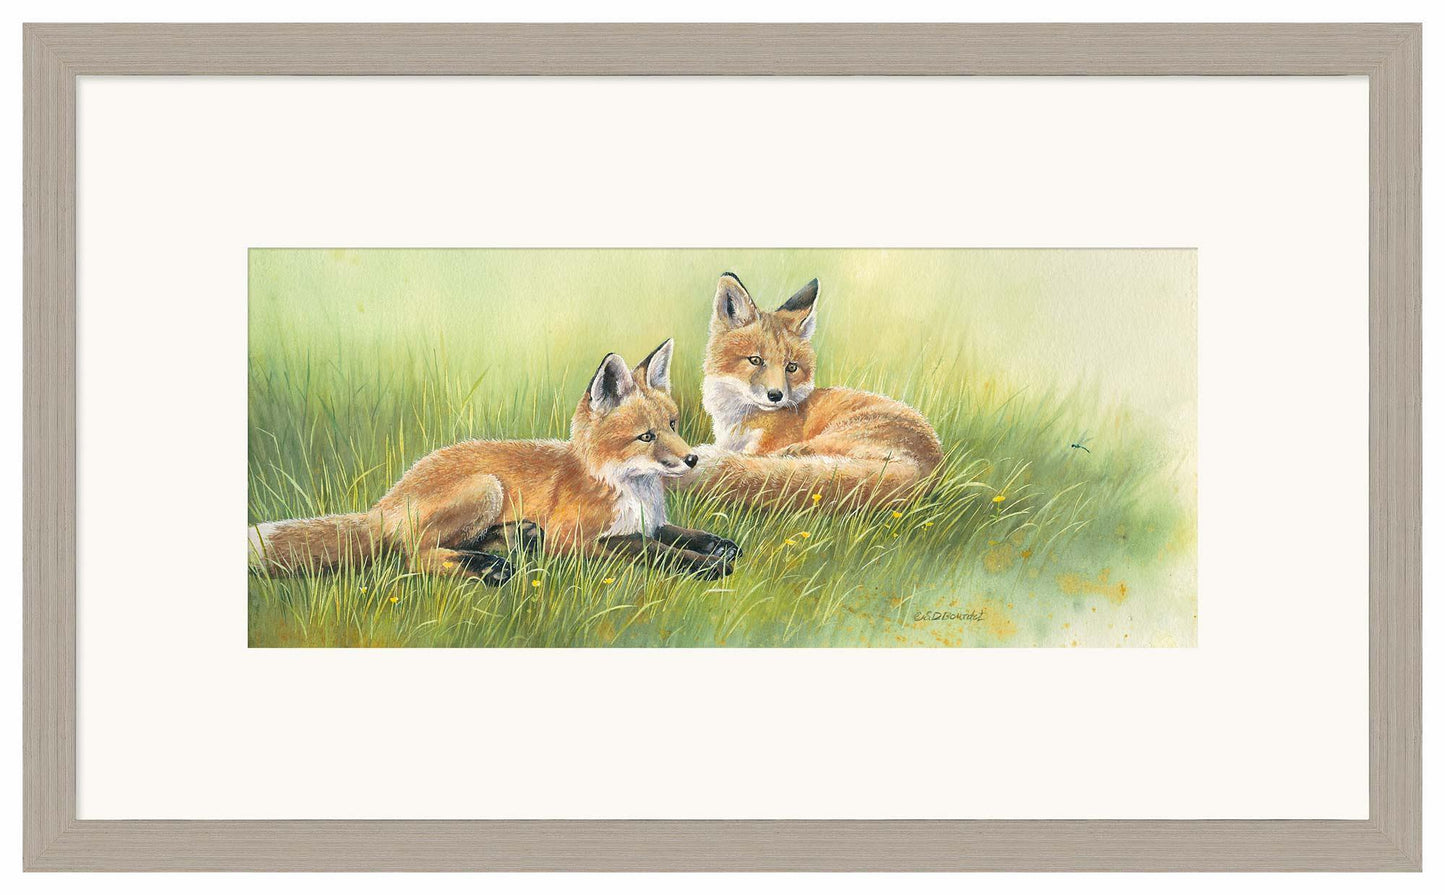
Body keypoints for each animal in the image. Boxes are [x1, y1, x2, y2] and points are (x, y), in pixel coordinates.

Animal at [249, 338, 740, 584]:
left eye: (673, 424)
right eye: (646, 437)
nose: (692, 459)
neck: (628, 489)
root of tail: (385, 501)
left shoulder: (649, 522)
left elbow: (676, 533)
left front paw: (717, 544)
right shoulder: (576, 539)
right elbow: (650, 549)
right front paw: (708, 565)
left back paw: (512, 542)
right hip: (486, 486)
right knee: (411, 556)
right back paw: (488, 568)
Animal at [681, 272, 943, 511]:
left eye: (791, 367)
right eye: (755, 360)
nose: (776, 396)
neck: (738, 421)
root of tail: (926, 471)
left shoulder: (763, 446)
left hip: (827, 439)